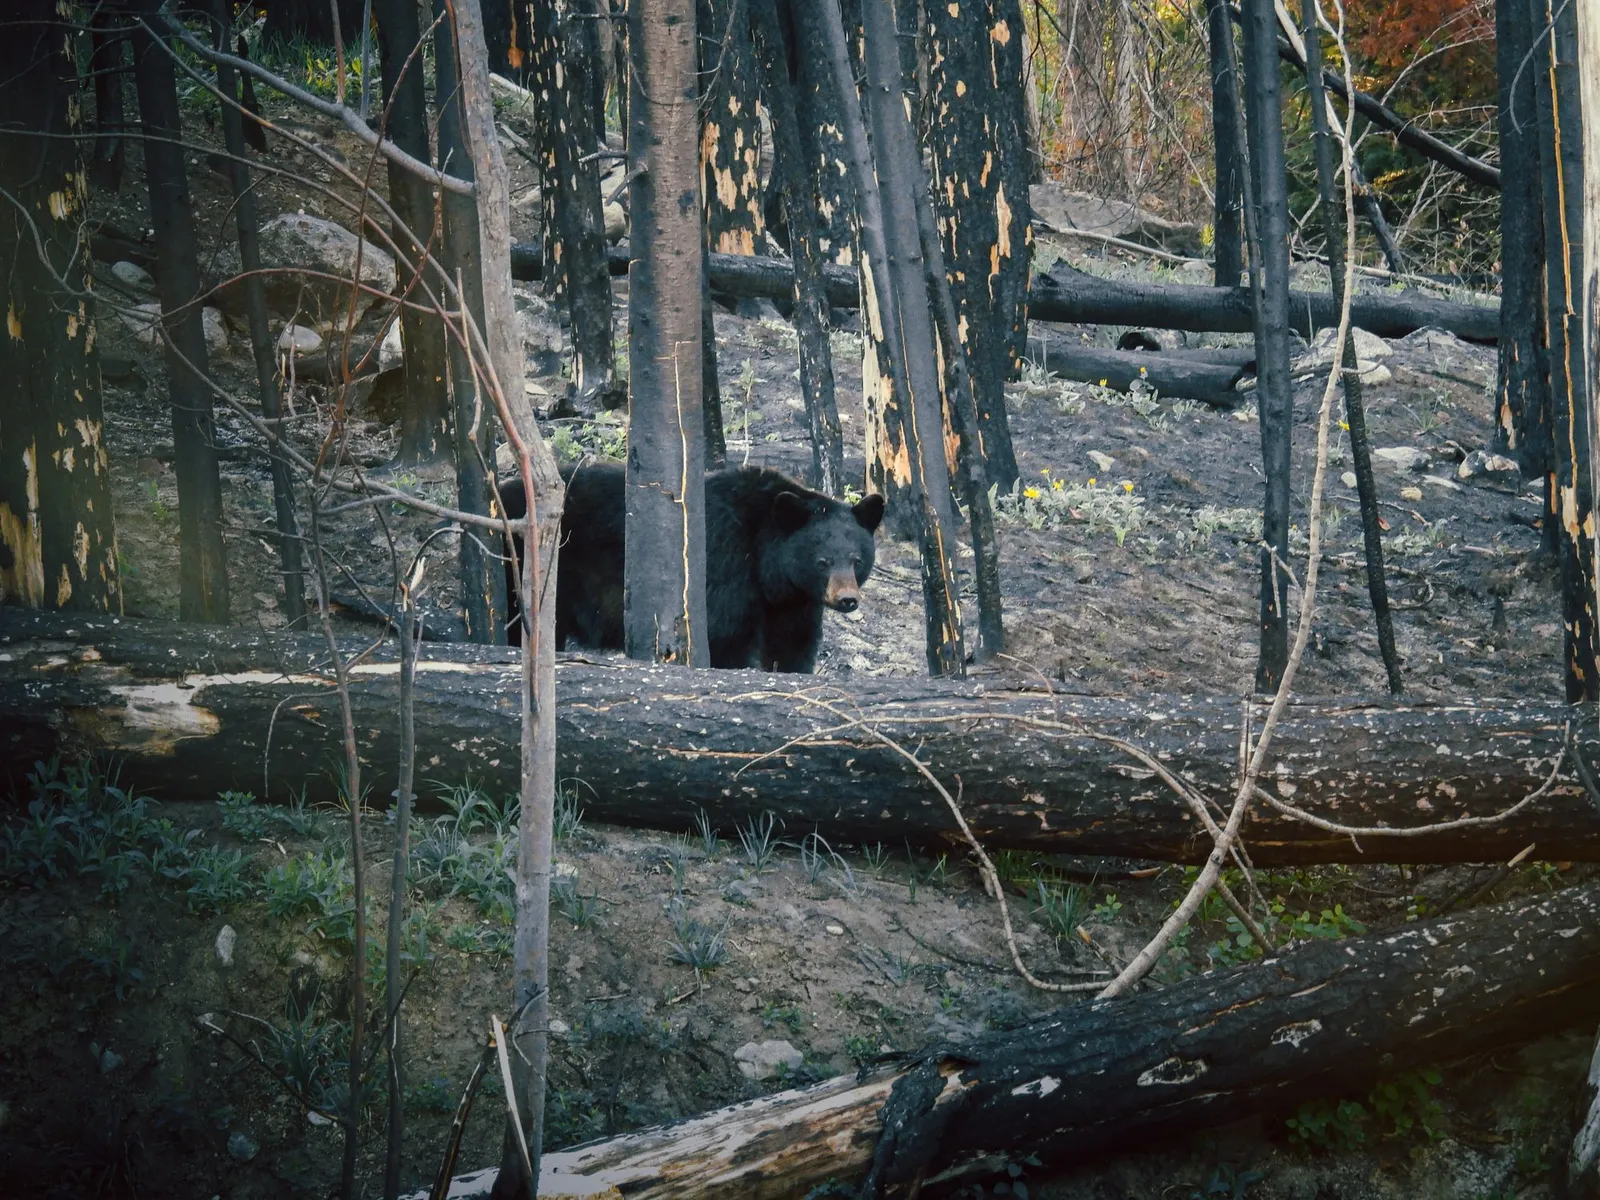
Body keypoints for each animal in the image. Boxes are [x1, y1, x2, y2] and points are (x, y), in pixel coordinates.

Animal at [497, 461, 885, 672]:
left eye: (857, 560)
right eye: (822, 561)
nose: (847, 599)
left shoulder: (792, 602)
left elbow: (792, 646)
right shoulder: (727, 568)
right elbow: (728, 639)